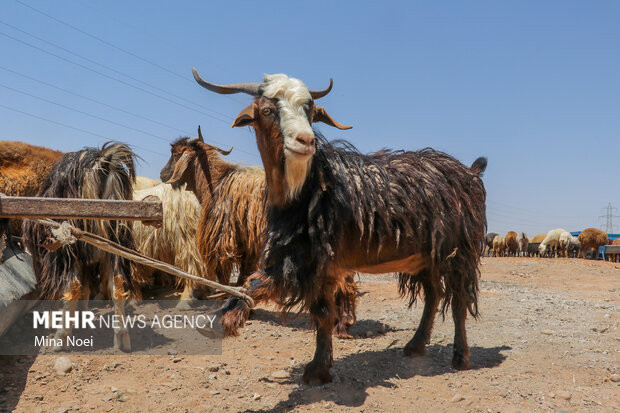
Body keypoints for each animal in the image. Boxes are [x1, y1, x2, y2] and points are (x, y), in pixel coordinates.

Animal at [23, 143, 138, 350]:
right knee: (116, 283)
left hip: (67, 246)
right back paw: (121, 337)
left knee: (72, 285)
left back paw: (60, 338)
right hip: (115, 240)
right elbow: (86, 288)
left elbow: (55, 290)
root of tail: (103, 163)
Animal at [194, 71, 490, 384]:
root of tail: (470, 173)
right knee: (434, 294)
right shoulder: (307, 261)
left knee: (458, 300)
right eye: (266, 110)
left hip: (459, 250)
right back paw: (416, 345)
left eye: (310, 111)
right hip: (426, 256)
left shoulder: (316, 261)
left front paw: (315, 369)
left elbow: (312, 307)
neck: (311, 187)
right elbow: (285, 295)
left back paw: (460, 357)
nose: (306, 140)